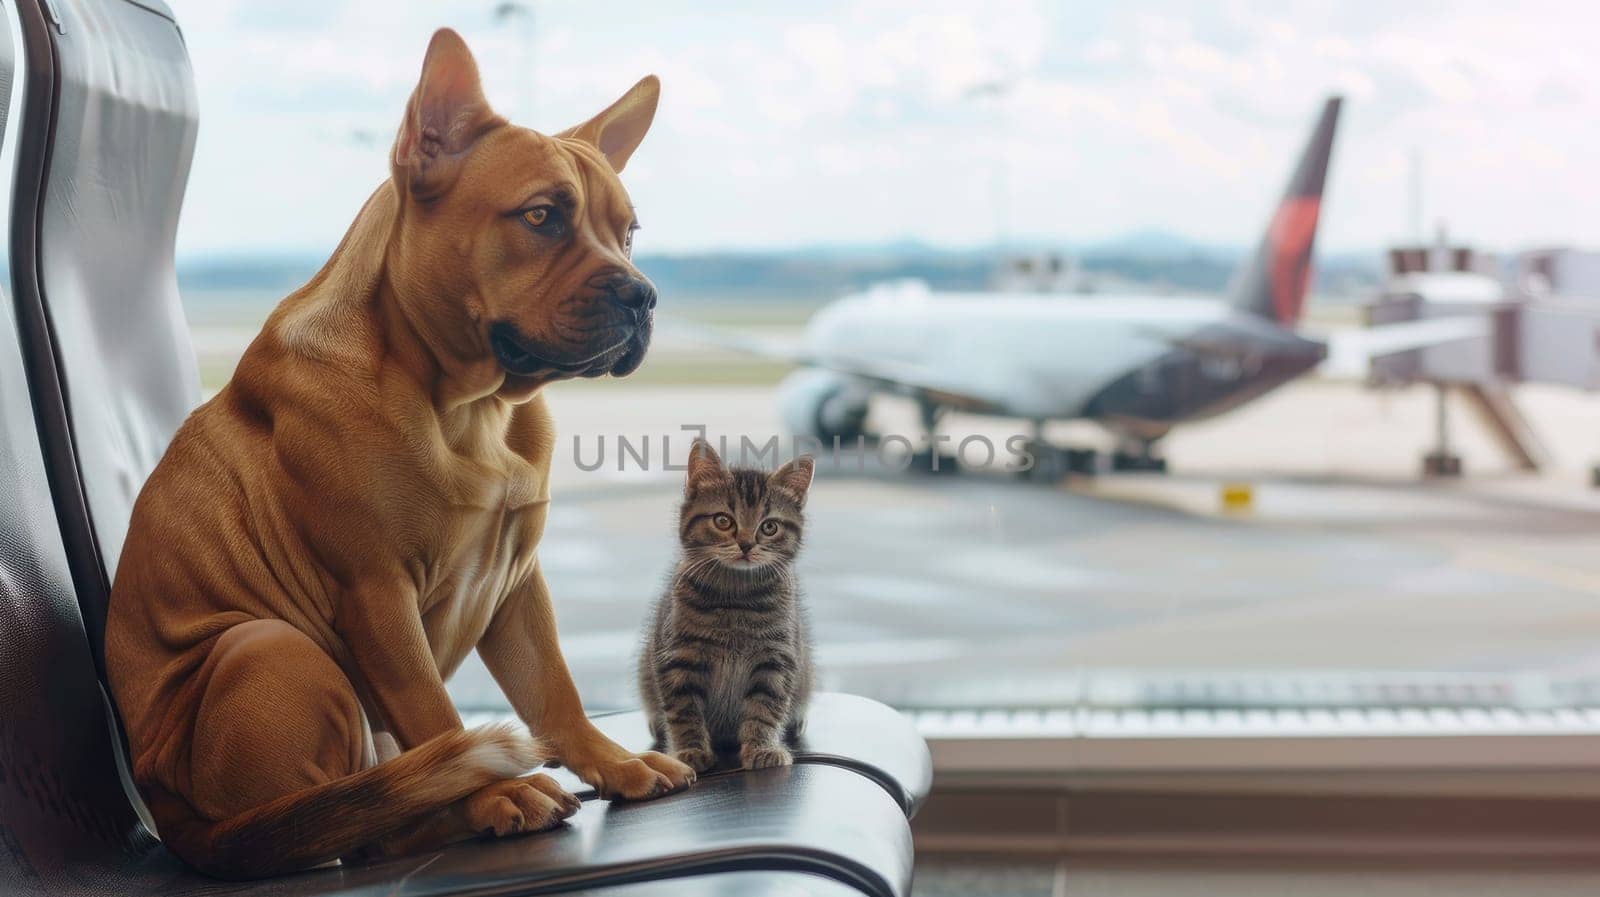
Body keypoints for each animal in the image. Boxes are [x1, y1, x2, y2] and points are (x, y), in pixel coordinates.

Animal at [101, 31, 694, 876]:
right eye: (542, 217)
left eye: (628, 232)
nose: (642, 294)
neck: (470, 406)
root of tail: (185, 830)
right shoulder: (377, 594)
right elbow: (436, 713)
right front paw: (494, 791)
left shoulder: (518, 581)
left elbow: (553, 687)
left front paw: (610, 761)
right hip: (269, 645)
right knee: (356, 819)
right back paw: (456, 809)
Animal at [633, 434, 812, 770]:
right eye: (723, 521)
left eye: (769, 527)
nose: (746, 544)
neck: (736, 599)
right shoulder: (678, 657)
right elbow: (684, 711)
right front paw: (690, 751)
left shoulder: (776, 658)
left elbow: (765, 708)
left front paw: (762, 748)